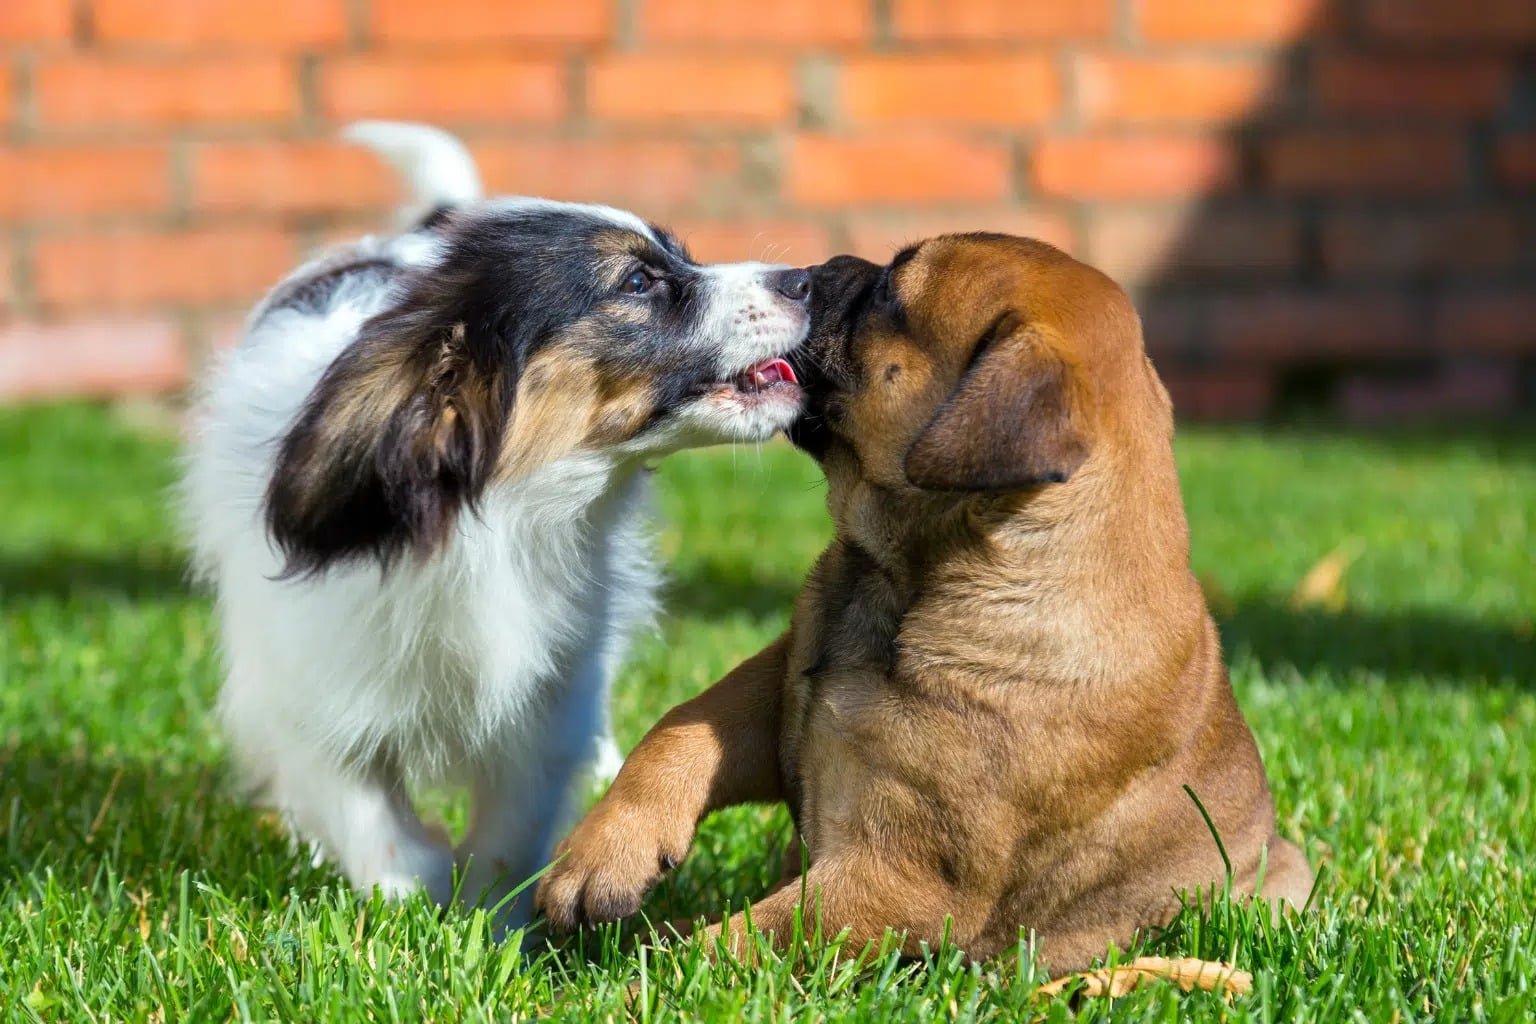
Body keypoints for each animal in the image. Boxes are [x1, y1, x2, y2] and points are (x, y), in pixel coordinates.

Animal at [179, 124, 811, 933]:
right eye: (639, 283)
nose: (809, 281)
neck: (502, 515)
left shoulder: (546, 699)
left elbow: (512, 832)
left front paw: (490, 923)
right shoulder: (314, 692)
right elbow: (372, 818)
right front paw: (414, 904)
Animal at [534, 236, 1314, 976]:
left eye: (890, 295)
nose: (809, 274)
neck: (900, 576)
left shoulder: (898, 878)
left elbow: (741, 940)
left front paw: (636, 980)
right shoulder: (776, 687)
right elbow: (681, 729)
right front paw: (600, 854)